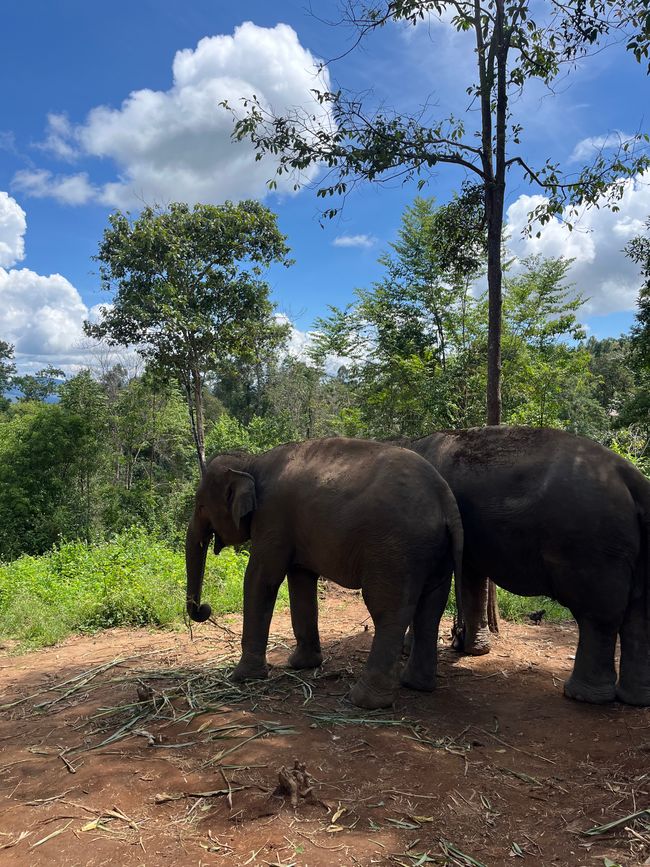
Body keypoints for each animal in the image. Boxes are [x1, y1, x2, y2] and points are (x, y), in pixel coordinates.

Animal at [185, 438, 464, 708]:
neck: (251, 462)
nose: (204, 608)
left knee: (389, 610)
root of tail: (446, 500)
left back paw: (363, 701)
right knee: (431, 609)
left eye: (200, 506)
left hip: (396, 550)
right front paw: (301, 664)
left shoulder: (272, 517)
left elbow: (261, 579)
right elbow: (300, 578)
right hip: (435, 552)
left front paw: (242, 677)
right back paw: (416, 685)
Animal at [408, 426, 648, 704]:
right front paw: (475, 650)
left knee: (599, 615)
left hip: (593, 547)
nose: (456, 638)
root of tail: (634, 480)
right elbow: (472, 578)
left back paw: (582, 695)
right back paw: (636, 698)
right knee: (638, 615)